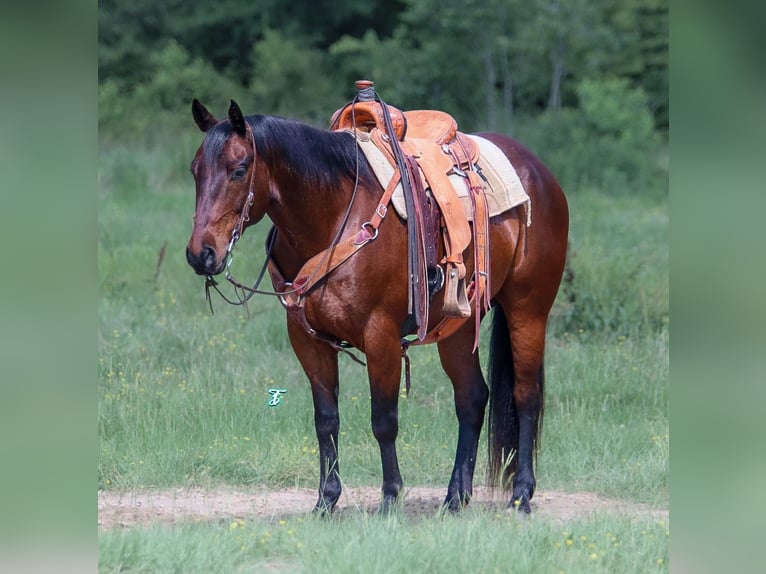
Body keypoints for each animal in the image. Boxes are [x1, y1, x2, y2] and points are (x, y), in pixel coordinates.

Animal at [186, 97, 568, 516]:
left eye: (239, 170)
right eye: (195, 170)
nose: (201, 254)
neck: (334, 217)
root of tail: (539, 172)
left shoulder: (380, 335)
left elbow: (383, 419)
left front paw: (389, 497)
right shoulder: (307, 341)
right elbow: (326, 420)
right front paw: (326, 500)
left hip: (527, 311)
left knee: (525, 395)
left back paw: (521, 494)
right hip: (458, 326)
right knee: (471, 398)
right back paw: (455, 497)